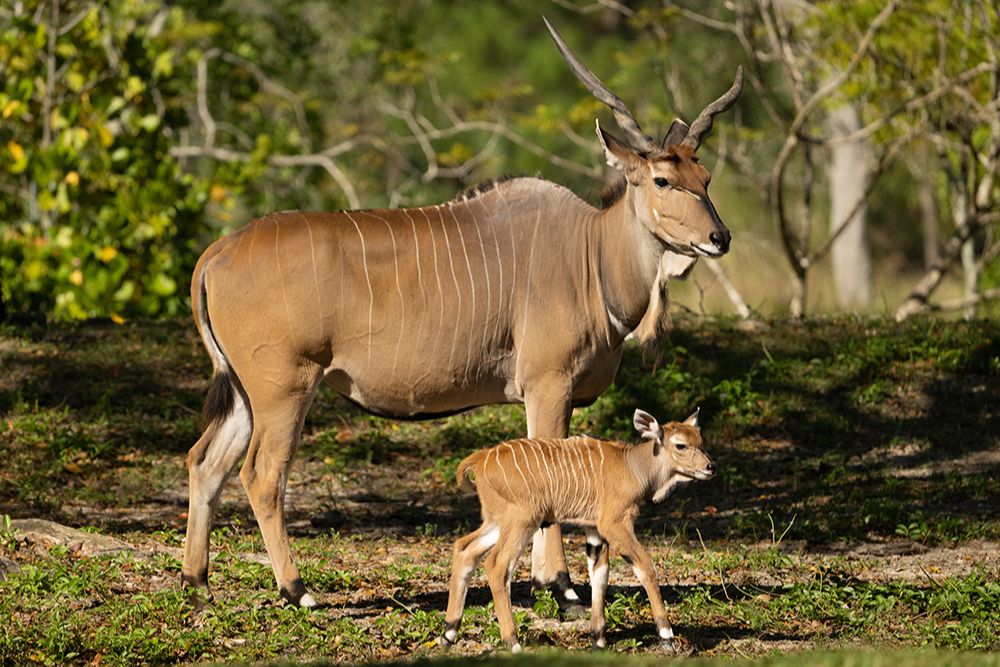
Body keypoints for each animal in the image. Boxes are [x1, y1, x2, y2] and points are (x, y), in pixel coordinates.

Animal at [182, 18, 744, 608]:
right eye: (663, 180)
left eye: (705, 178)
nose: (719, 237)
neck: (590, 252)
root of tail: (218, 252)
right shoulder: (549, 385)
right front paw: (559, 585)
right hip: (283, 388)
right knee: (262, 474)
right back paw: (296, 589)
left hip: (246, 393)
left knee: (205, 461)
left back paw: (196, 581)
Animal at [442, 408, 716, 652]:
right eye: (681, 445)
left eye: (701, 441)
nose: (710, 467)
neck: (632, 466)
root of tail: (480, 460)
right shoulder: (614, 523)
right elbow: (645, 567)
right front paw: (666, 637)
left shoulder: (593, 528)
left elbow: (600, 574)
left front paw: (599, 639)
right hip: (522, 519)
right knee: (497, 565)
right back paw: (513, 643)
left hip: (497, 521)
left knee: (465, 549)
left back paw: (448, 634)